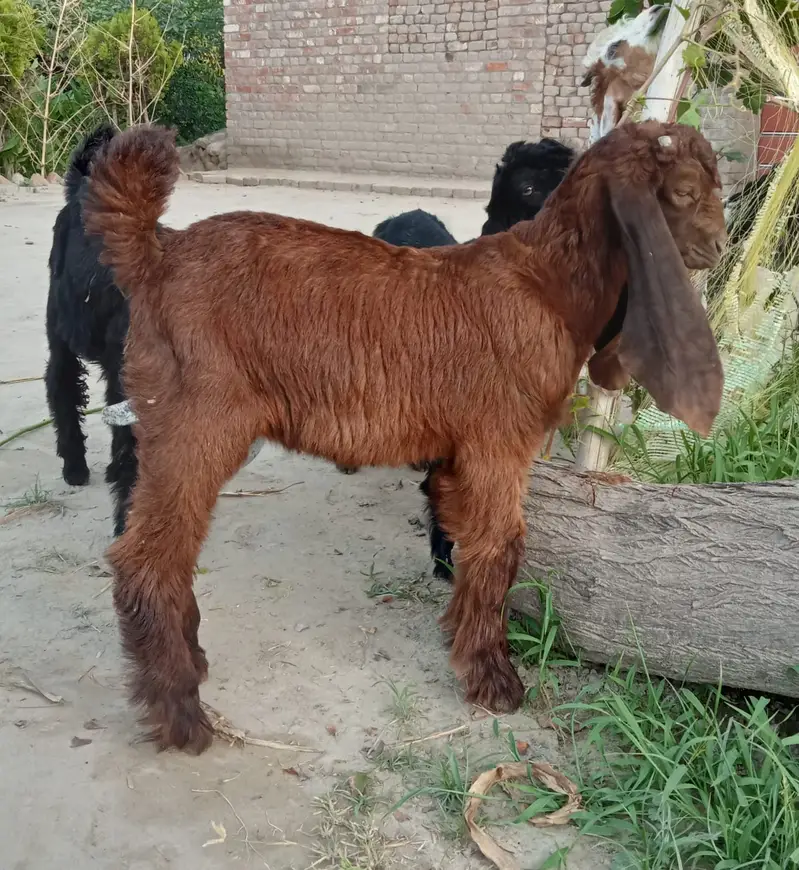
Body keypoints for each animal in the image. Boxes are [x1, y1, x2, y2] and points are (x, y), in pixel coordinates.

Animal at [83, 120, 725, 753]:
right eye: (684, 192)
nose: (717, 247)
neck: (545, 282)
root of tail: (156, 255)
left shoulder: (457, 454)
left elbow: (463, 538)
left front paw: (459, 638)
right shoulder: (498, 440)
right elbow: (501, 548)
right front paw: (494, 680)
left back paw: (191, 665)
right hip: (197, 420)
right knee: (147, 558)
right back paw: (181, 714)